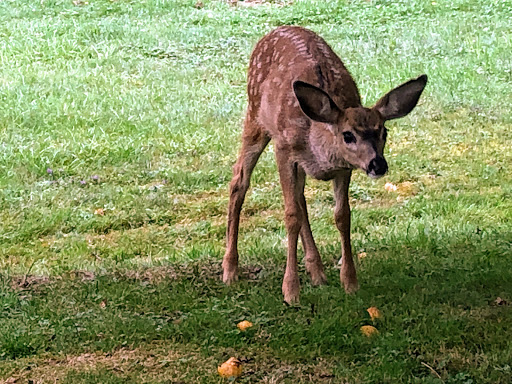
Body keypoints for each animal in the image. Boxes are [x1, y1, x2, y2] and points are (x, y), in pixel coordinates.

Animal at [222, 25, 426, 304]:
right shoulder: (284, 149)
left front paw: (350, 282)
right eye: (348, 135)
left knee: (300, 198)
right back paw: (230, 270)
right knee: (239, 180)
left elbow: (342, 215)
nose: (378, 165)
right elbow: (291, 215)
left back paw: (317, 271)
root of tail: (276, 29)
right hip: (254, 116)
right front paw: (290, 291)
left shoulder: (344, 168)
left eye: (383, 131)